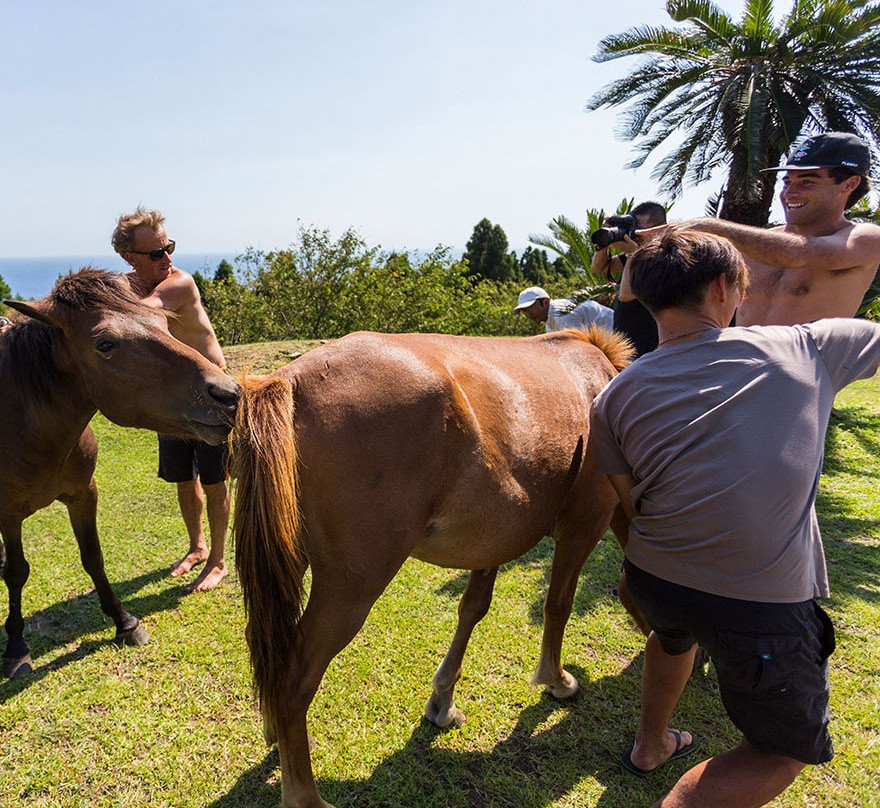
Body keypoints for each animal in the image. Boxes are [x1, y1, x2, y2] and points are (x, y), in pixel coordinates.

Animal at [0, 268, 241, 680]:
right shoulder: (8, 513)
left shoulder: (84, 495)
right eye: (106, 344)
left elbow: (93, 558)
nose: (228, 394)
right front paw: (16, 648)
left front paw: (124, 622)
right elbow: (17, 572)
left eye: (163, 323)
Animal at [234, 326, 632, 804]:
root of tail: (292, 379)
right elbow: (558, 605)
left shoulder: (491, 543)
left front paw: (443, 701)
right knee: (294, 679)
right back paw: (304, 795)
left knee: (271, 650)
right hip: (351, 589)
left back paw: (275, 728)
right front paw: (556, 680)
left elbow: (472, 608)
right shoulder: (584, 526)